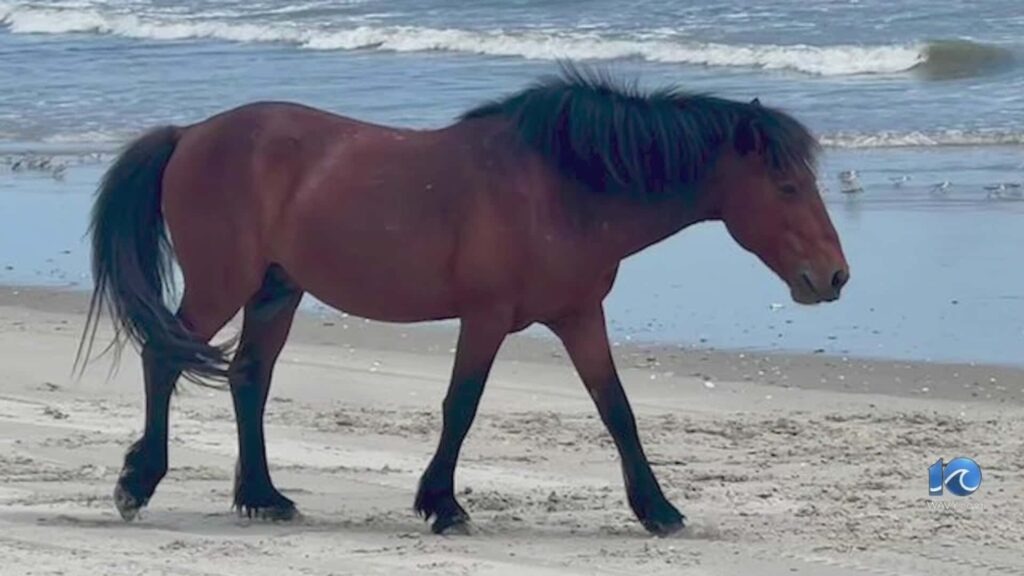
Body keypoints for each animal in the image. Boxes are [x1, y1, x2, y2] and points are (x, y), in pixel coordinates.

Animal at [77, 65, 849, 536]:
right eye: (787, 188)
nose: (835, 277)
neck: (560, 189)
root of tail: (189, 134)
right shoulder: (486, 318)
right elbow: (462, 405)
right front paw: (442, 505)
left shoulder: (579, 318)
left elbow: (617, 410)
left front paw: (658, 509)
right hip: (223, 286)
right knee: (164, 359)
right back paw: (138, 484)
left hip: (276, 291)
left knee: (247, 379)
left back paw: (263, 496)